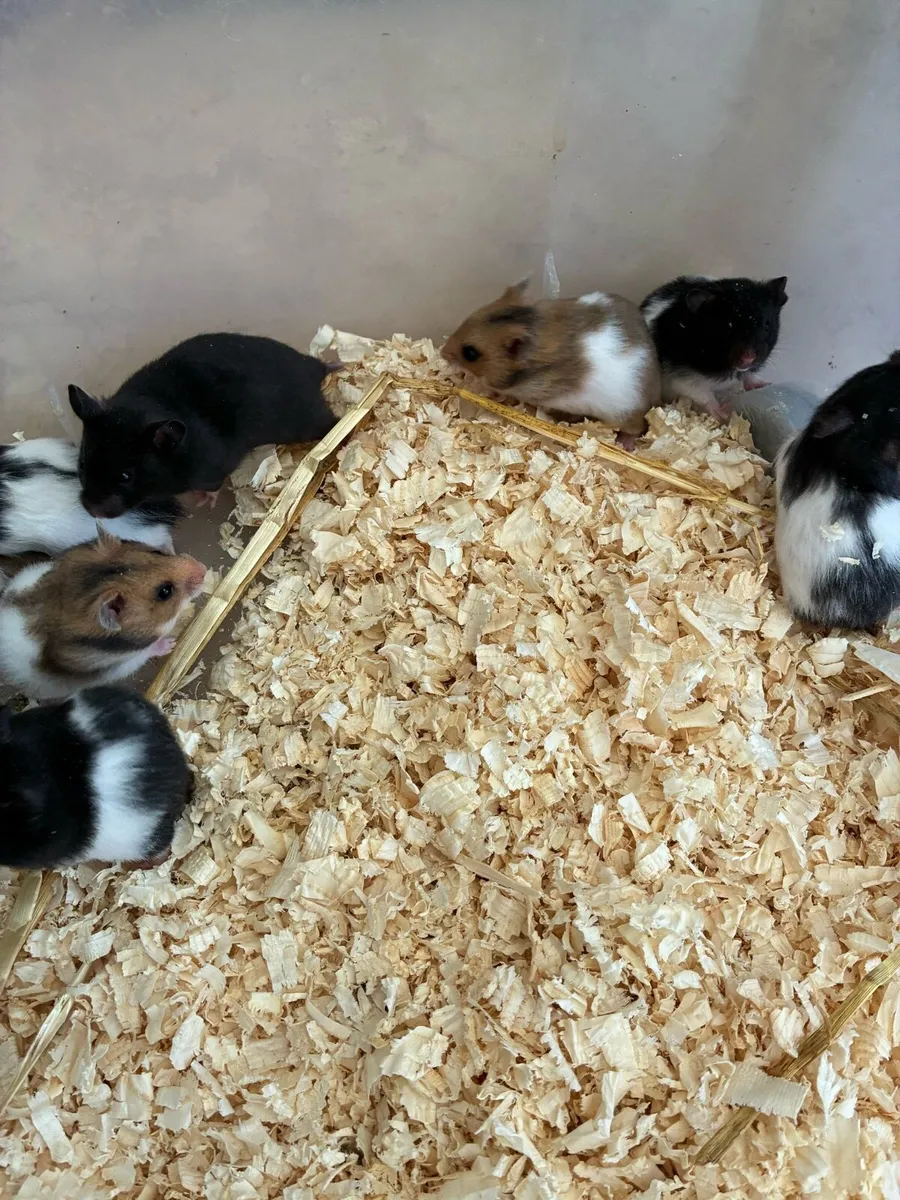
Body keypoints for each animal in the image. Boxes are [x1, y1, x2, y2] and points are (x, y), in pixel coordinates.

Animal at [0, 532, 206, 699]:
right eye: (165, 591)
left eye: (157, 552)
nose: (203, 568)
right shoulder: (120, 665)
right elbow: (148, 651)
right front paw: (171, 643)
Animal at [69, 332, 340, 518]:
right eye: (82, 465)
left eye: (126, 476)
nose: (91, 511)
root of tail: (315, 372)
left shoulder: (213, 468)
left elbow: (213, 487)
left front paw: (203, 502)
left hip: (307, 422)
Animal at [641, 275, 788, 418]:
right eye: (728, 326)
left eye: (767, 324)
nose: (748, 358)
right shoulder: (681, 378)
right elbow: (703, 394)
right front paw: (724, 413)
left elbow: (749, 376)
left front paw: (766, 384)